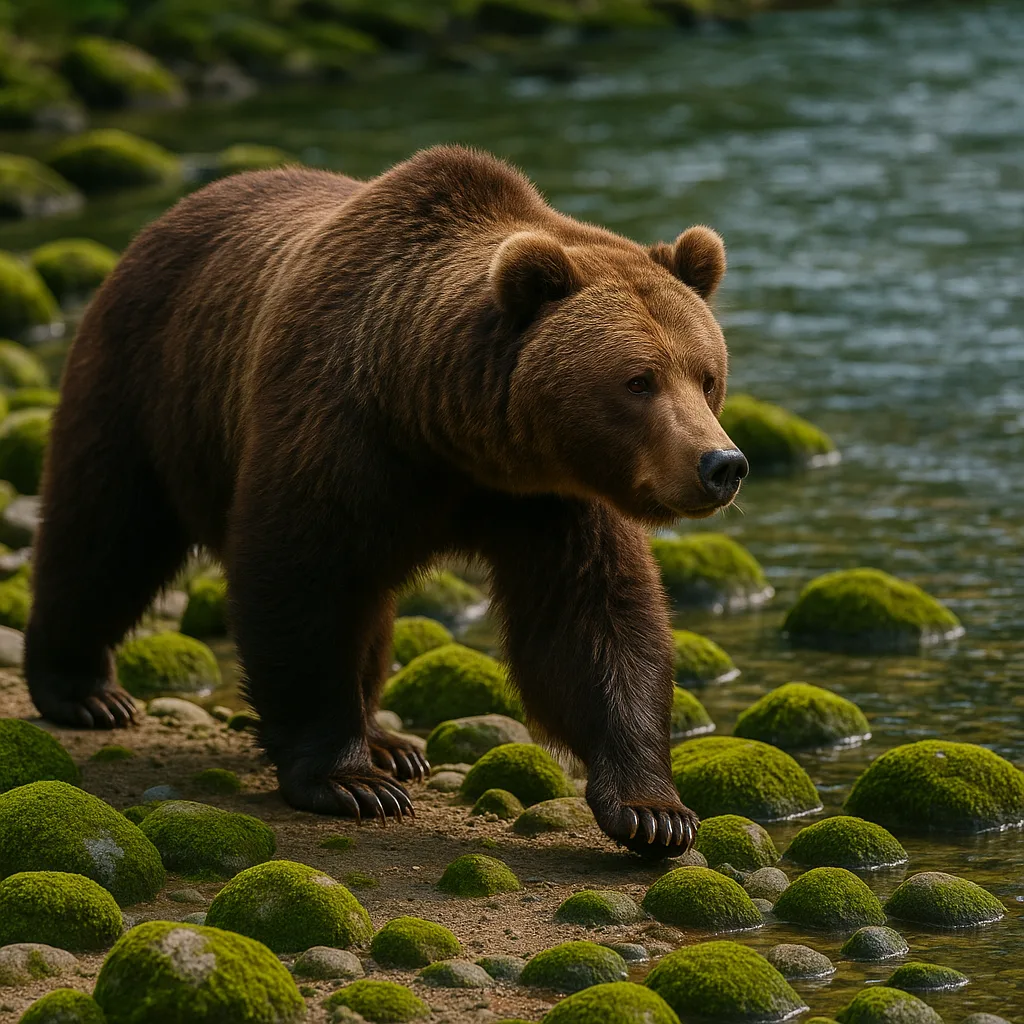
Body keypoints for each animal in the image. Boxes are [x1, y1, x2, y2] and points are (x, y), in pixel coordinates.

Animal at [25, 146, 747, 857]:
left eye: (706, 375)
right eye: (638, 380)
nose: (722, 464)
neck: (443, 428)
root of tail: (161, 224)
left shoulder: (552, 495)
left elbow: (592, 621)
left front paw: (653, 810)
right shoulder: (336, 433)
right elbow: (300, 584)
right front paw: (346, 781)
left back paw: (391, 744)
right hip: (149, 389)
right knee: (106, 534)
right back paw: (83, 691)